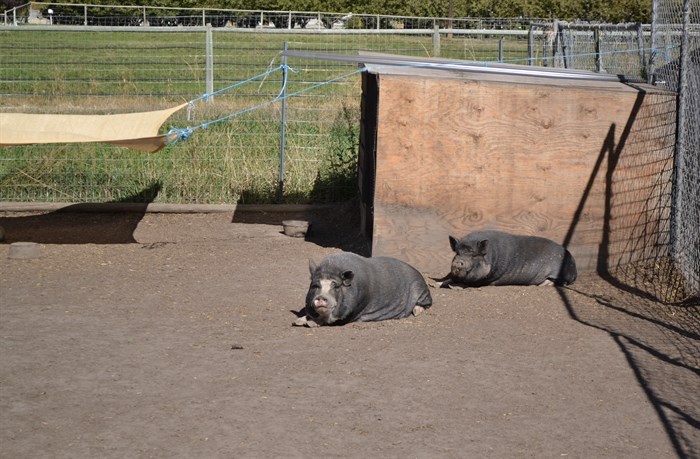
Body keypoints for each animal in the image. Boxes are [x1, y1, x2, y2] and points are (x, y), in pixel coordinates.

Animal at [294, 252, 432, 328]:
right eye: (315, 286)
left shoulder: (353, 310)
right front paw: (297, 322)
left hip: (422, 291)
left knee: (426, 304)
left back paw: (417, 311)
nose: (321, 297)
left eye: (336, 286)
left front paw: (309, 324)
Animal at [440, 230, 576, 288]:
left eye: (473, 256)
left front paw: (451, 286)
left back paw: (543, 285)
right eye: (457, 253)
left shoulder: (487, 279)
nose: (458, 262)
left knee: (562, 282)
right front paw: (438, 284)